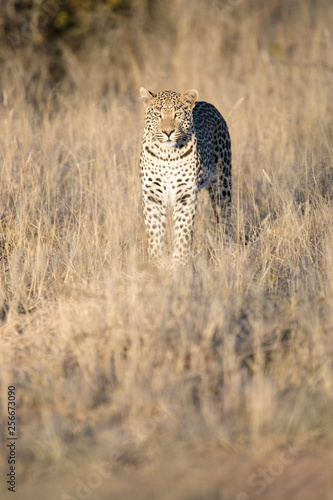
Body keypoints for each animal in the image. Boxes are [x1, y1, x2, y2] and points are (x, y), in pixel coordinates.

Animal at [139, 87, 230, 266]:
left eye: (177, 114)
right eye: (157, 114)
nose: (168, 132)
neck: (167, 155)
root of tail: (206, 103)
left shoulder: (186, 195)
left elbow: (183, 232)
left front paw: (179, 263)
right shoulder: (152, 196)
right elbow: (154, 232)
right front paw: (157, 262)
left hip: (223, 182)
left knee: (225, 218)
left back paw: (228, 250)